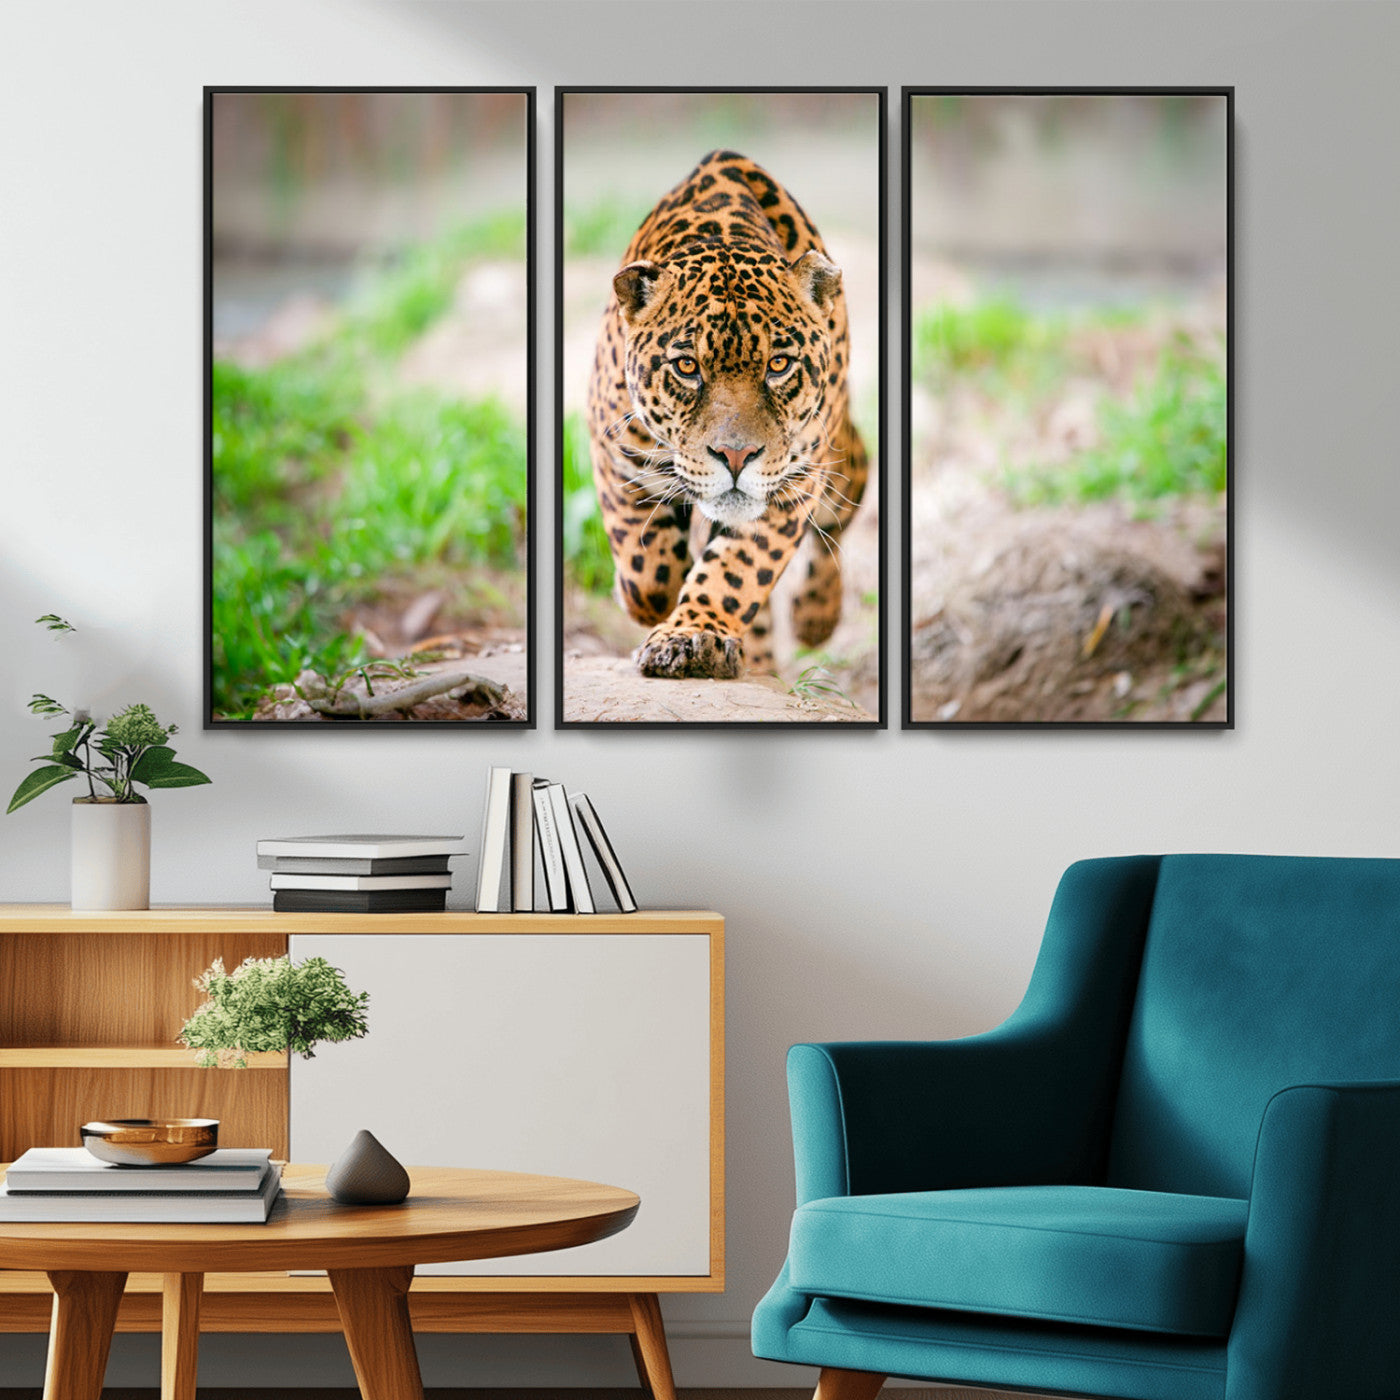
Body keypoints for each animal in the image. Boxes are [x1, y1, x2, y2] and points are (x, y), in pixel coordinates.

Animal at [585, 149, 868, 680]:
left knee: (845, 501)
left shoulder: (791, 484)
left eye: (779, 365)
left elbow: (736, 571)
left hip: (837, 458)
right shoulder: (615, 451)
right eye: (687, 367)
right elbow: (645, 569)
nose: (736, 457)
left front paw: (693, 635)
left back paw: (815, 617)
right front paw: (654, 603)